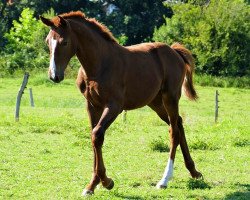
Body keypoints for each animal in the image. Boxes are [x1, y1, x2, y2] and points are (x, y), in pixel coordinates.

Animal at [40, 10, 202, 195]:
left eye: (64, 42)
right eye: (47, 41)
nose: (54, 76)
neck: (99, 65)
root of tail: (175, 52)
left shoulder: (114, 106)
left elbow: (97, 135)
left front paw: (106, 181)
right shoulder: (92, 106)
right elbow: (93, 137)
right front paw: (92, 185)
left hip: (171, 97)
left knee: (174, 131)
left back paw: (164, 180)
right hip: (155, 102)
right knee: (179, 124)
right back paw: (194, 171)